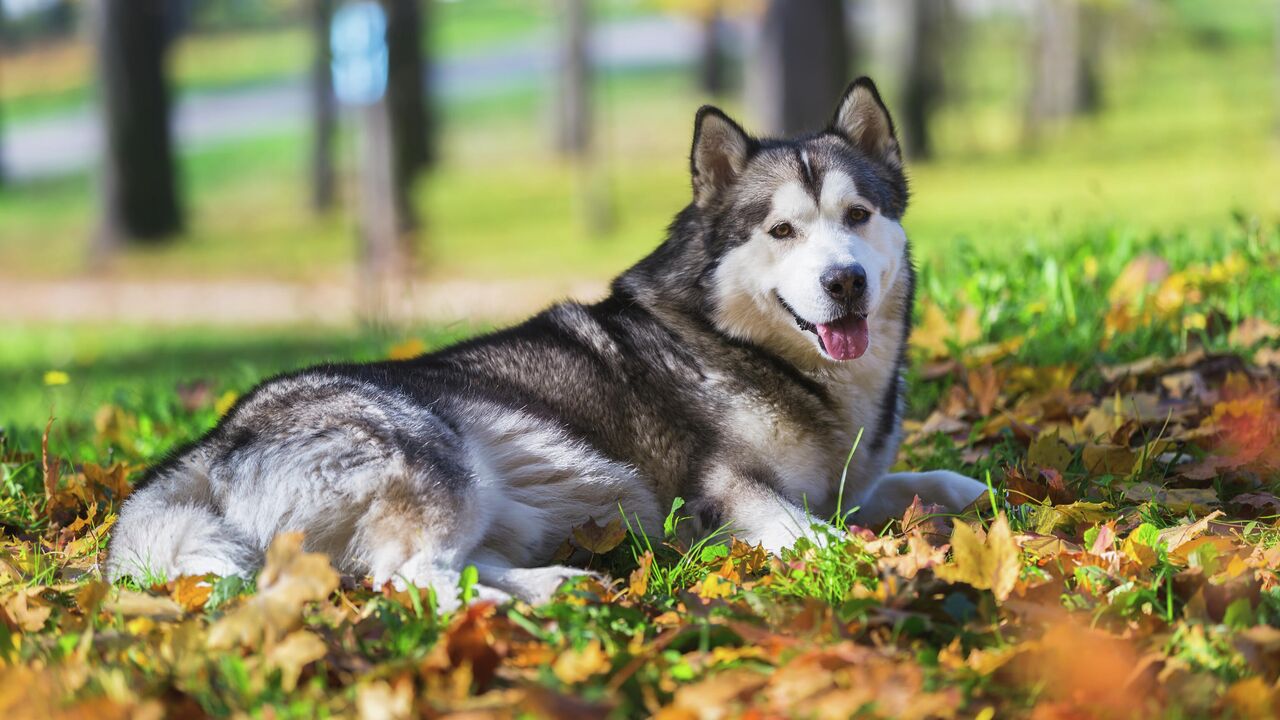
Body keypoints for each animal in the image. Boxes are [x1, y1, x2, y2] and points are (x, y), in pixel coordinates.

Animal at [110, 77, 988, 604]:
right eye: (782, 231)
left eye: (858, 217)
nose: (845, 282)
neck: (752, 350)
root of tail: (215, 438)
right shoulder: (725, 497)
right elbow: (818, 534)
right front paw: (882, 562)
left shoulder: (849, 481)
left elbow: (924, 479)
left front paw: (975, 494)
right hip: (432, 457)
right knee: (412, 578)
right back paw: (522, 608)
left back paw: (559, 587)